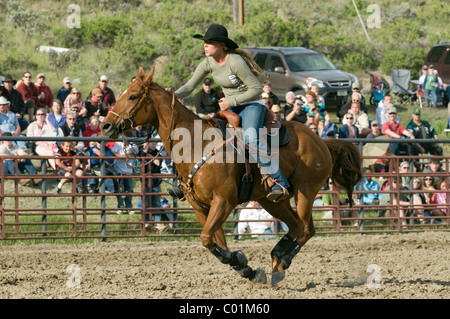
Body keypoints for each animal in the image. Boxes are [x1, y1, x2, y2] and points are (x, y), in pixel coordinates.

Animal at [100, 66, 360, 286]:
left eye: (133, 96)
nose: (106, 126)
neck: (197, 144)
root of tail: (322, 141)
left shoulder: (223, 201)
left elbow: (207, 239)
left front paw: (243, 264)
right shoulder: (201, 207)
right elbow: (214, 241)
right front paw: (246, 268)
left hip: (306, 191)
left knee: (306, 229)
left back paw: (282, 260)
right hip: (272, 200)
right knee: (297, 227)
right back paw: (277, 261)